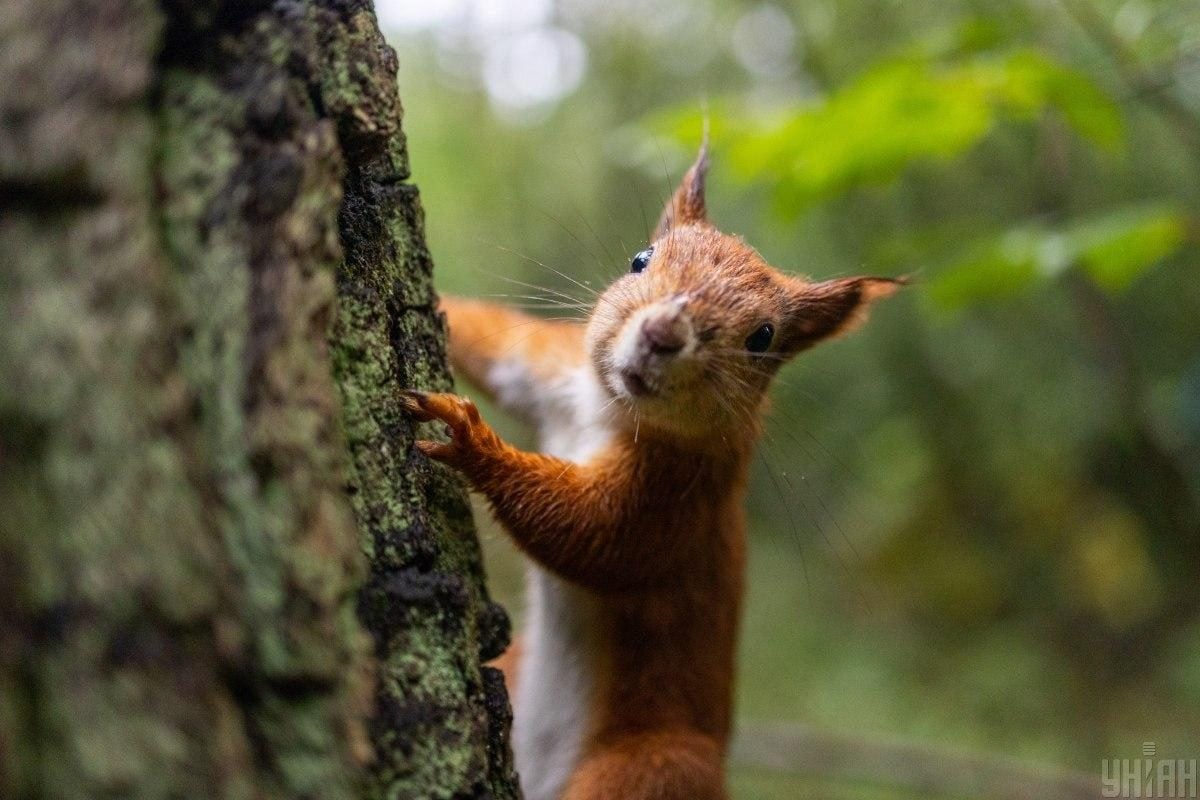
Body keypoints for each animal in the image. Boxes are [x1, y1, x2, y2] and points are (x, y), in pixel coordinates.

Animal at [403, 143, 902, 800]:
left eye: (763, 337)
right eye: (639, 260)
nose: (663, 333)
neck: (607, 410)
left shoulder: (680, 492)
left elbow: (598, 534)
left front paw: (471, 441)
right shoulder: (553, 369)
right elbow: (495, 343)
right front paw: (445, 308)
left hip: (653, 767)